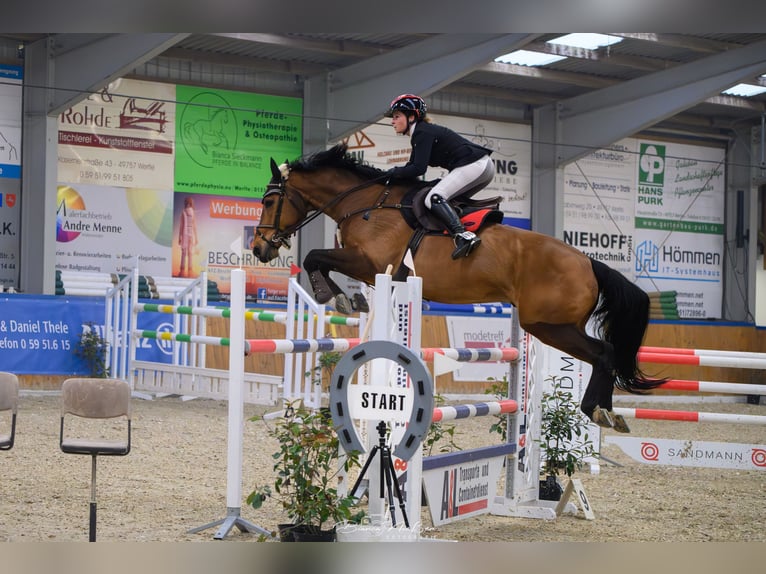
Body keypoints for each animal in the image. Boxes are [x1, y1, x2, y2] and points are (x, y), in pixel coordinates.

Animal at [251, 143, 665, 432]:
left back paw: (599, 411)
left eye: (270, 200)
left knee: (604, 352)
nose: (259, 248)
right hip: (555, 325)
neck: (366, 203)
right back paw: (607, 412)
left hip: (547, 325)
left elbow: (314, 257)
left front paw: (333, 296)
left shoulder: (370, 264)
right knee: (605, 353)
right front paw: (344, 298)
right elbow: (319, 260)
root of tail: (588, 263)